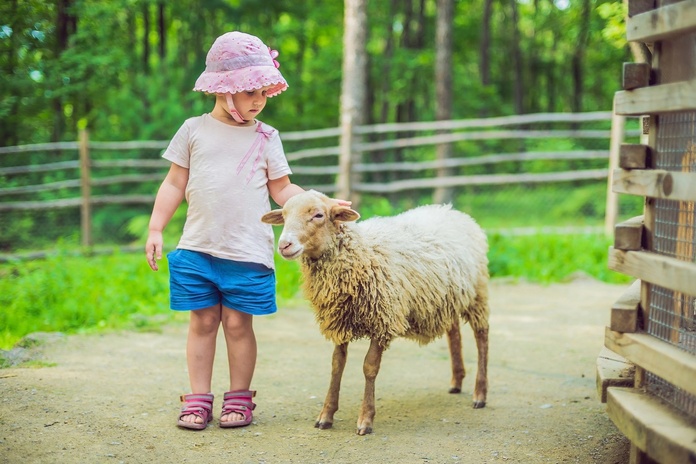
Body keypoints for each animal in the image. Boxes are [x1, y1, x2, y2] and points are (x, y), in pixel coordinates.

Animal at [260, 188, 490, 436]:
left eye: (318, 215)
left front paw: (365, 419)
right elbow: (336, 365)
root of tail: (453, 212)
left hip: (477, 293)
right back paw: (457, 381)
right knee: (454, 331)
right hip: (446, 299)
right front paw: (326, 415)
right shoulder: (340, 320)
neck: (360, 254)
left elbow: (369, 368)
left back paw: (480, 394)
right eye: (284, 216)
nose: (284, 245)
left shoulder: (383, 319)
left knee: (482, 337)